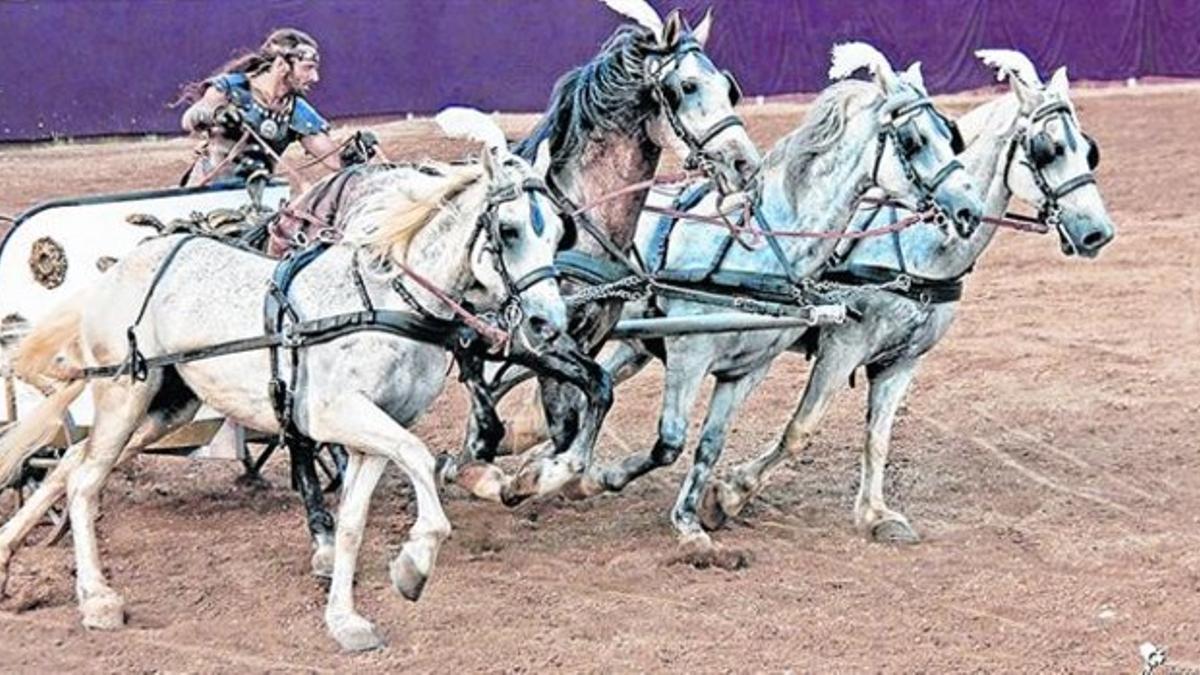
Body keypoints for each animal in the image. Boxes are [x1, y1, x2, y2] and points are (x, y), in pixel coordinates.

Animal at [0, 109, 568, 648]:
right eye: (509, 230)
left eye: (559, 232)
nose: (550, 322)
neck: (386, 301)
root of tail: (115, 271)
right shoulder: (340, 415)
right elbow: (419, 458)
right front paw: (415, 561)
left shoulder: (374, 431)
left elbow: (352, 524)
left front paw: (346, 619)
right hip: (125, 391)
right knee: (85, 481)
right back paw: (97, 599)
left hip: (168, 406)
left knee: (72, 459)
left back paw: (9, 554)